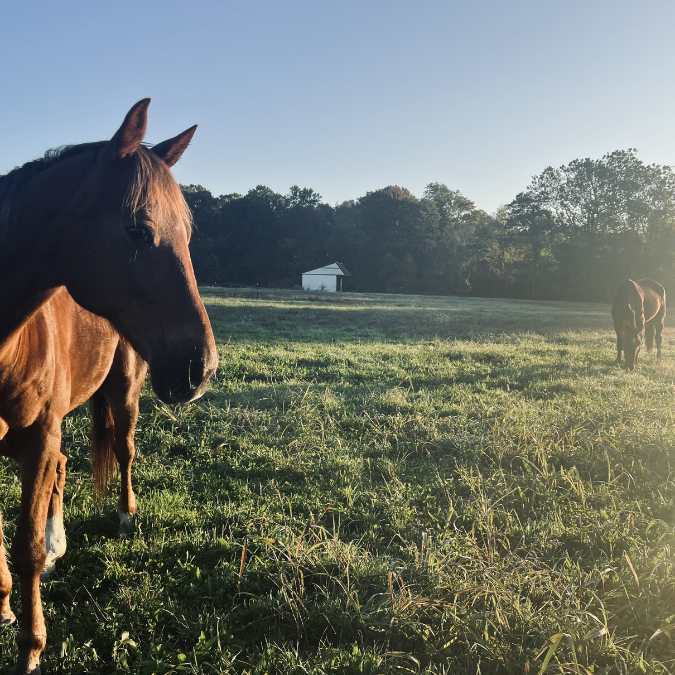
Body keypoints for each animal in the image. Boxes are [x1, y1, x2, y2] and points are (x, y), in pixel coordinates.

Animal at [0, 99, 218, 674]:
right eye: (139, 230)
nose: (201, 368)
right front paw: (4, 604)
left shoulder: (38, 440)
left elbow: (25, 549)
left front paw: (30, 650)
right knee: (64, 467)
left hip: (123, 395)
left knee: (122, 450)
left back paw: (122, 518)